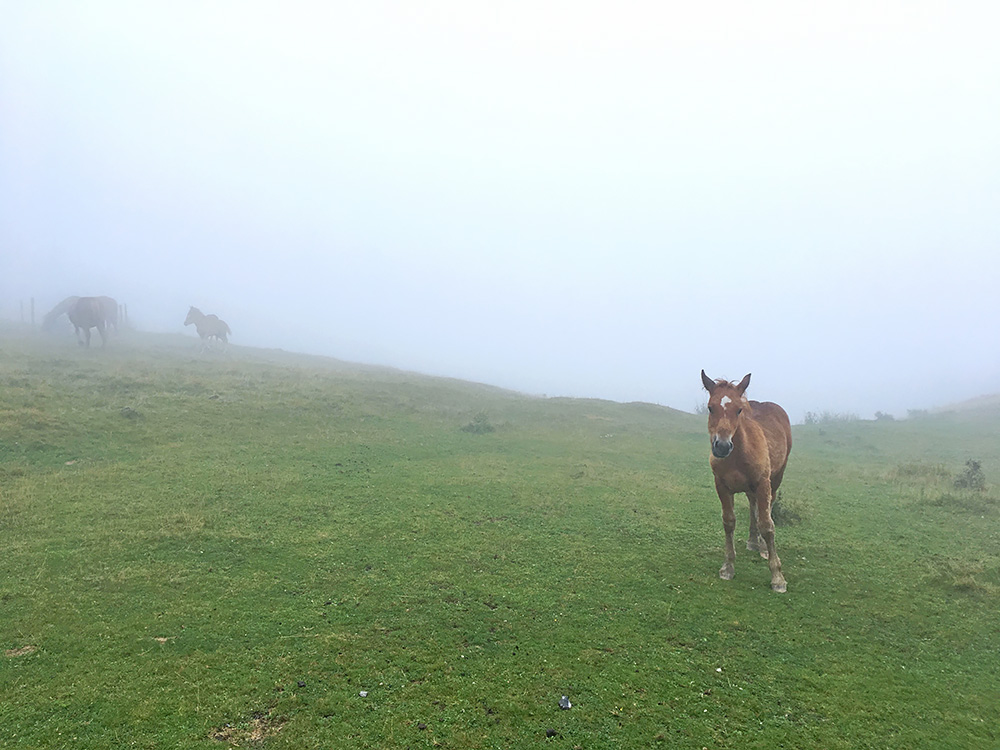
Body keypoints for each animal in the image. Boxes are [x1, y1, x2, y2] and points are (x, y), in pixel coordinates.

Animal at [704, 370, 788, 592]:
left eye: (739, 410)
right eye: (710, 407)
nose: (722, 446)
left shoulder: (763, 484)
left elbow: (767, 524)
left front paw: (777, 577)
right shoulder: (722, 485)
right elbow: (729, 522)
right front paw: (728, 567)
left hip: (775, 479)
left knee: (766, 509)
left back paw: (763, 547)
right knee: (753, 507)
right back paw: (752, 541)